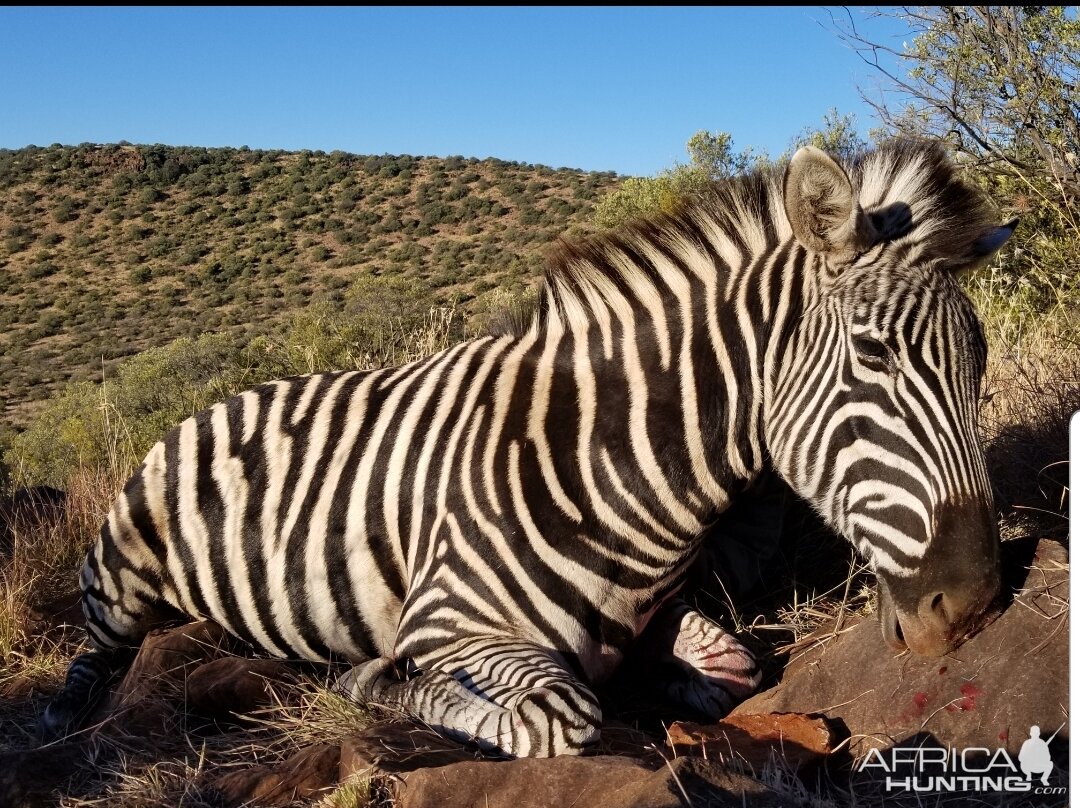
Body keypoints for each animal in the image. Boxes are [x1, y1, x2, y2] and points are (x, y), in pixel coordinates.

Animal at [39, 140, 1010, 756]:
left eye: (981, 359)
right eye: (874, 355)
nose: (970, 605)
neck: (616, 466)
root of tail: (213, 402)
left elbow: (726, 663)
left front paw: (663, 671)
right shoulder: (447, 623)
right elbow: (557, 714)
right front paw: (371, 682)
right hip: (118, 582)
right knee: (93, 660)